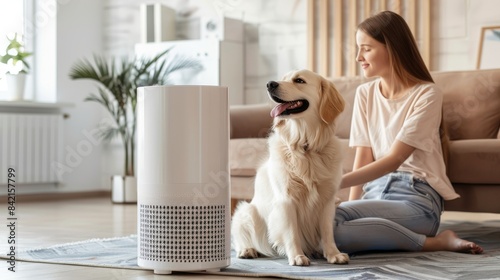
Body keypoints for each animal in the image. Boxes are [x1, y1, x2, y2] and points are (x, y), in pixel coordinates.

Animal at [230, 69, 348, 266]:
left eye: (299, 80)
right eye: (282, 79)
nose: (270, 84)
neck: (305, 147)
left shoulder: (327, 200)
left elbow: (327, 231)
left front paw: (333, 253)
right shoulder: (286, 199)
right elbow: (291, 232)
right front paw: (297, 256)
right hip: (246, 212)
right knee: (240, 238)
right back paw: (247, 250)